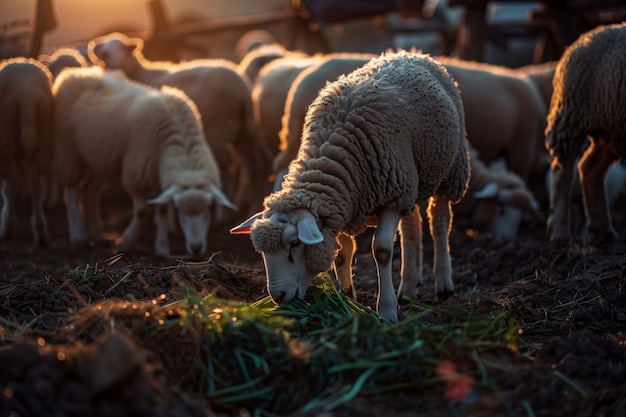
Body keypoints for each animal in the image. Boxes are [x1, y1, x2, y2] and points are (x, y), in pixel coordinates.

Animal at [0, 57, 54, 245]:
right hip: (44, 130)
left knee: (11, 184)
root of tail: (27, 95)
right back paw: (41, 233)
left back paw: (7, 228)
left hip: (6, 134)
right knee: (35, 184)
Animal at [51, 67, 235, 256]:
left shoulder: (159, 178)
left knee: (90, 191)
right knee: (72, 192)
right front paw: (126, 243)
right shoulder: (137, 174)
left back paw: (97, 235)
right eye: (178, 210)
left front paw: (162, 248)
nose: (196, 248)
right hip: (67, 150)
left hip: (100, 158)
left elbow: (162, 209)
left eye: (209, 209)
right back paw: (78, 236)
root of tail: (76, 72)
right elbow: (142, 211)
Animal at [86, 33, 272, 219]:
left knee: (228, 170)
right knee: (254, 167)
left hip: (219, 130)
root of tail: (242, 89)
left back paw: (221, 214)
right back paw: (249, 207)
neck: (139, 74)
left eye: (113, 47)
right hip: (243, 129)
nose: (94, 46)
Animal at [232, 49, 466, 322]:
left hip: (450, 168)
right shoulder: (344, 202)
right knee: (412, 223)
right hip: (412, 179)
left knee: (440, 220)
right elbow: (343, 255)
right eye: (262, 253)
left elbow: (382, 250)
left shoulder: (391, 197)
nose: (277, 297)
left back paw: (443, 283)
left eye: (295, 244)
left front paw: (386, 312)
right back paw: (408, 286)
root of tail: (410, 54)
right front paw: (347, 301)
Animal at [540, 22, 624, 242]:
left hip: (611, 127)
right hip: (572, 116)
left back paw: (602, 228)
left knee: (590, 167)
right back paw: (560, 232)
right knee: (563, 171)